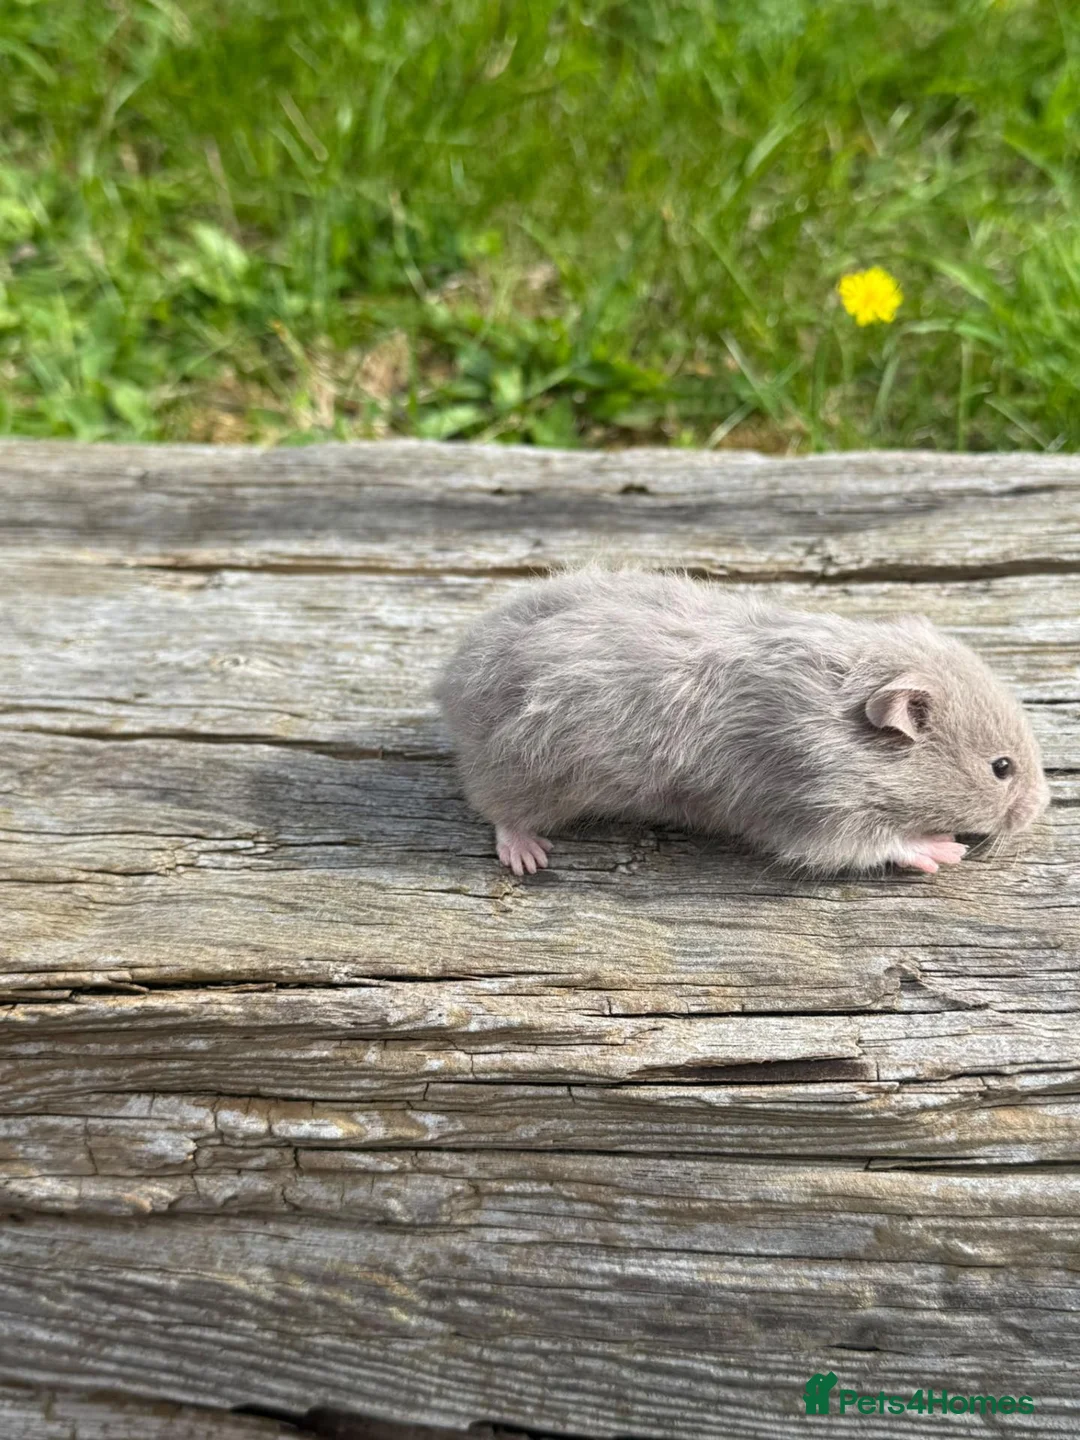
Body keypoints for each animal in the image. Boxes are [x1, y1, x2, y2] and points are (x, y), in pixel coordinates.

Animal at [433, 566, 1050, 877]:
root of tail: (454, 680)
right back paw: (529, 859)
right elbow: (880, 843)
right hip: (524, 773)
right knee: (496, 811)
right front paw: (946, 850)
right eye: (1001, 768)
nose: (1043, 807)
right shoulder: (814, 811)